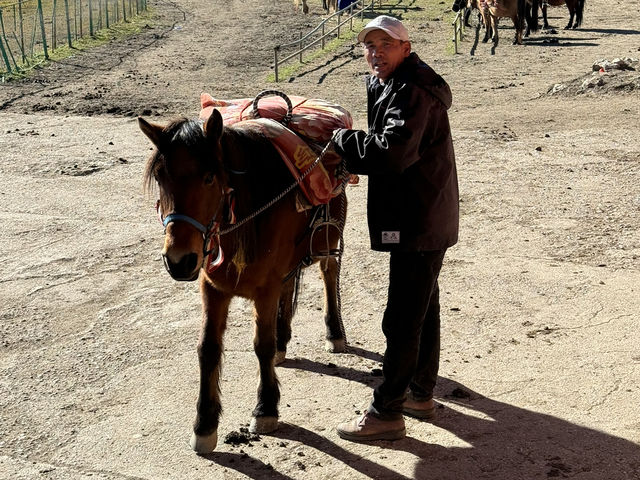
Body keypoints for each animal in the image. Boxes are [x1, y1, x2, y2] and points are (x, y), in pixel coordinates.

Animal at [138, 109, 348, 454]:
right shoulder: (212, 289)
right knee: (289, 287)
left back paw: (334, 333)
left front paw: (266, 409)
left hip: (327, 241)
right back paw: (283, 341)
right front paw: (205, 424)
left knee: (329, 275)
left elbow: (261, 345)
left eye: (210, 177)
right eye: (160, 178)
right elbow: (208, 348)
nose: (179, 261)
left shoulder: (265, 289)